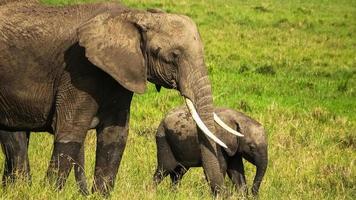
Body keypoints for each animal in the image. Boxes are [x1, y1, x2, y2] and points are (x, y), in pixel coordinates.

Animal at [0, 0, 239, 195]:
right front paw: (50, 193)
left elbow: (115, 136)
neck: (134, 16)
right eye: (172, 56)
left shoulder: (121, 72)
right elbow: (71, 132)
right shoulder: (78, 69)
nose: (222, 193)